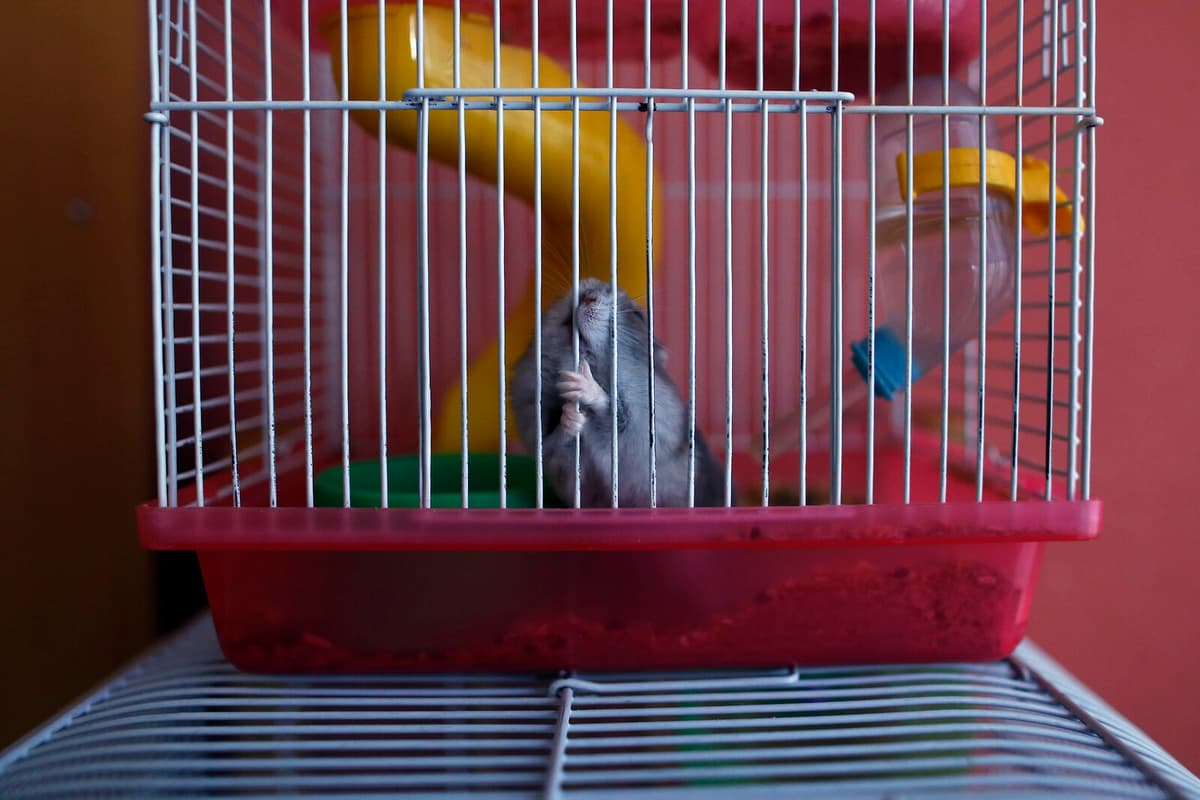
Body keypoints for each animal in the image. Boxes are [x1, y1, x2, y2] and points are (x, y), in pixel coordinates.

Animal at [511, 278, 730, 508]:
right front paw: (571, 414)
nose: (588, 293)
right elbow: (554, 439)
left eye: (636, 315)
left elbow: (614, 412)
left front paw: (580, 382)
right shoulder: (541, 433)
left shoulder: (648, 426)